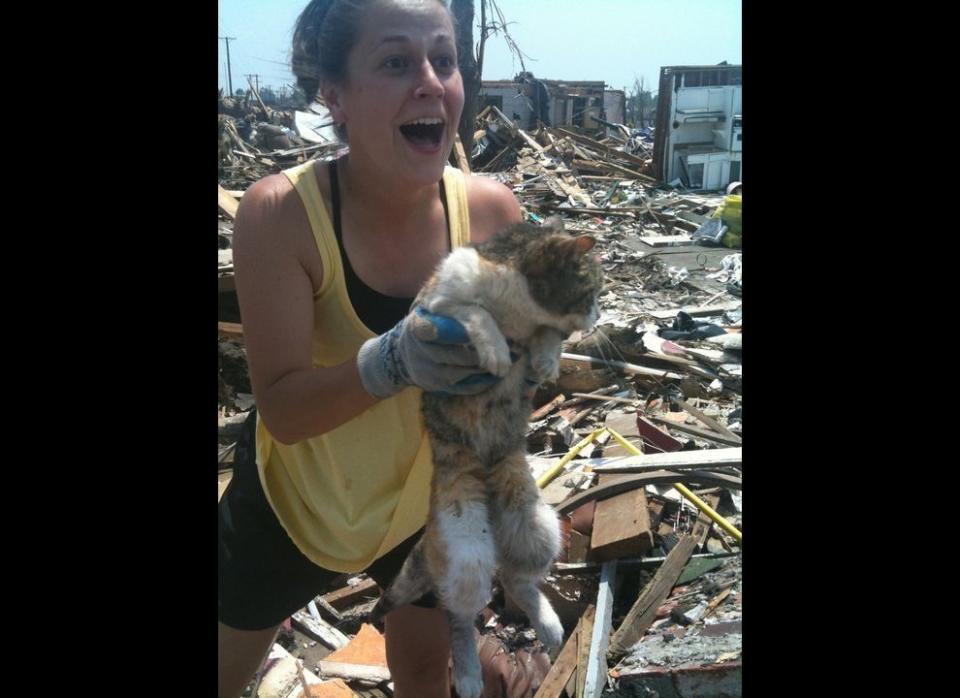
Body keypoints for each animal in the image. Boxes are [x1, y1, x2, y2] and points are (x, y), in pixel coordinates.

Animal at [372, 216, 604, 696]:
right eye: (590, 291)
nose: (599, 315)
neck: (518, 309)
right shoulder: (432, 309)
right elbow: (475, 313)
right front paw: (497, 352)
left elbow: (548, 335)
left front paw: (545, 360)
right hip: (465, 547)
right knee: (459, 615)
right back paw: (467, 673)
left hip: (535, 524)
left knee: (517, 579)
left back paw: (549, 627)